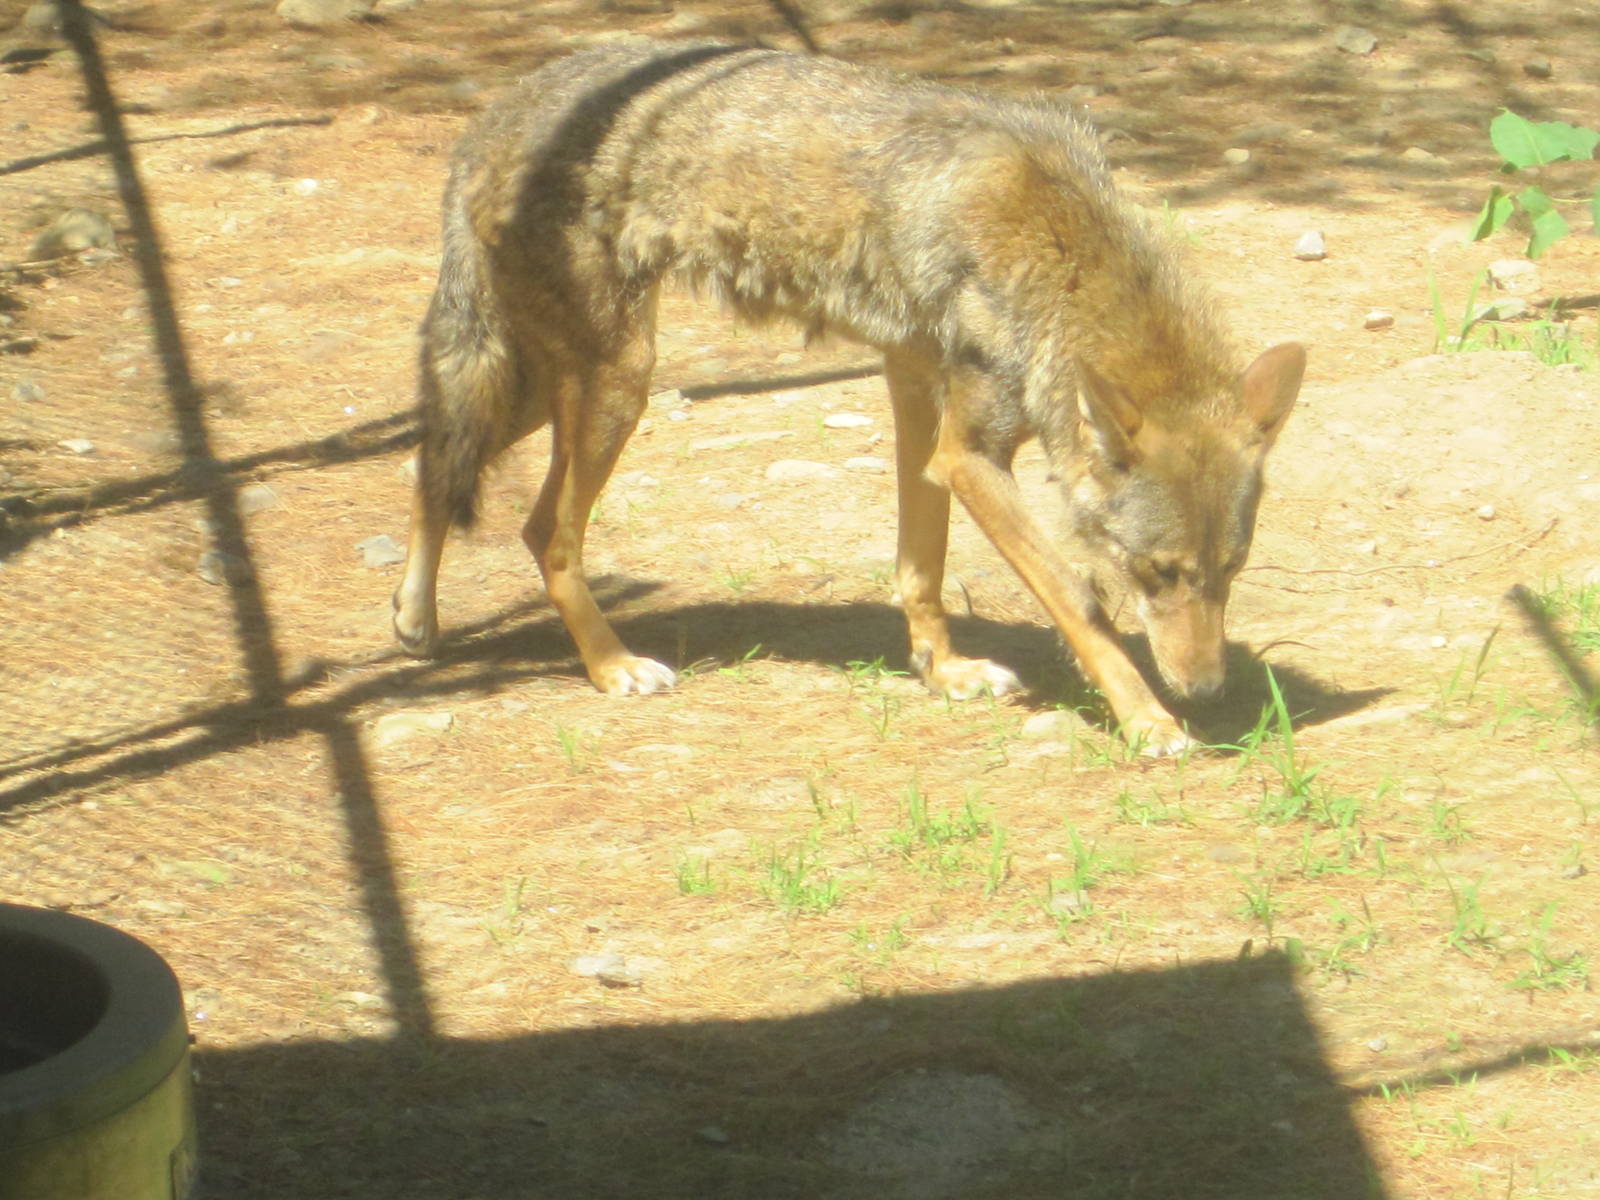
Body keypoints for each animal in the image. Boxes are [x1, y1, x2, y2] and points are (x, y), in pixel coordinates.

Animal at [391, 39, 1306, 755]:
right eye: (1159, 572)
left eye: (1233, 569)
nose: (1206, 692)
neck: (1059, 256)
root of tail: (492, 117)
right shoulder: (972, 454)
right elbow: (1081, 602)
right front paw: (1148, 722)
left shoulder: (918, 397)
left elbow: (921, 565)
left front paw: (944, 671)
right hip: (616, 381)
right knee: (545, 530)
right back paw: (611, 667)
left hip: (551, 386)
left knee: (440, 463)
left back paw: (415, 620)